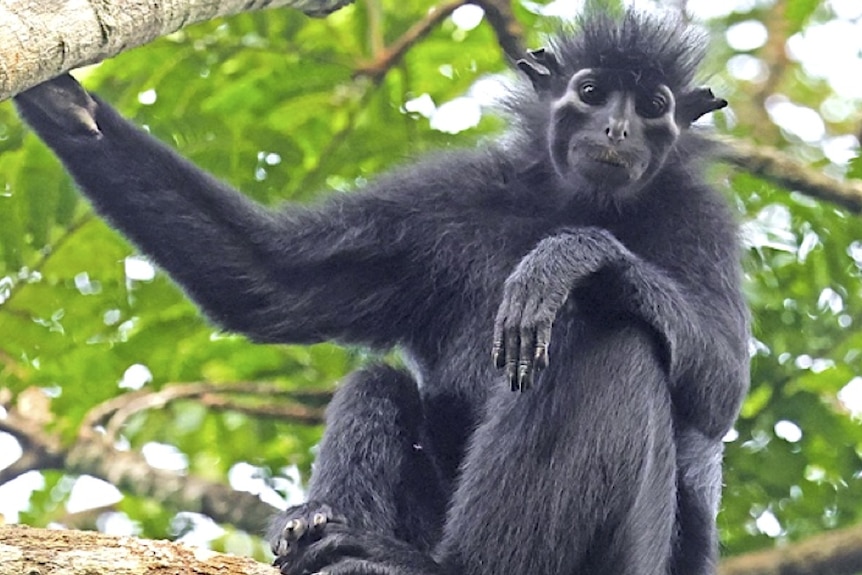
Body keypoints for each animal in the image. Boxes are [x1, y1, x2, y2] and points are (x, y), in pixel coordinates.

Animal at [15, 7, 749, 575]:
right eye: (593, 92)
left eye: (652, 107)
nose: (618, 128)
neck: (576, 201)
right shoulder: (451, 200)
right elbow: (267, 279)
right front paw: (65, 104)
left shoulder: (700, 217)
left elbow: (722, 385)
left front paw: (567, 257)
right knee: (379, 382)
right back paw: (326, 530)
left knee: (616, 340)